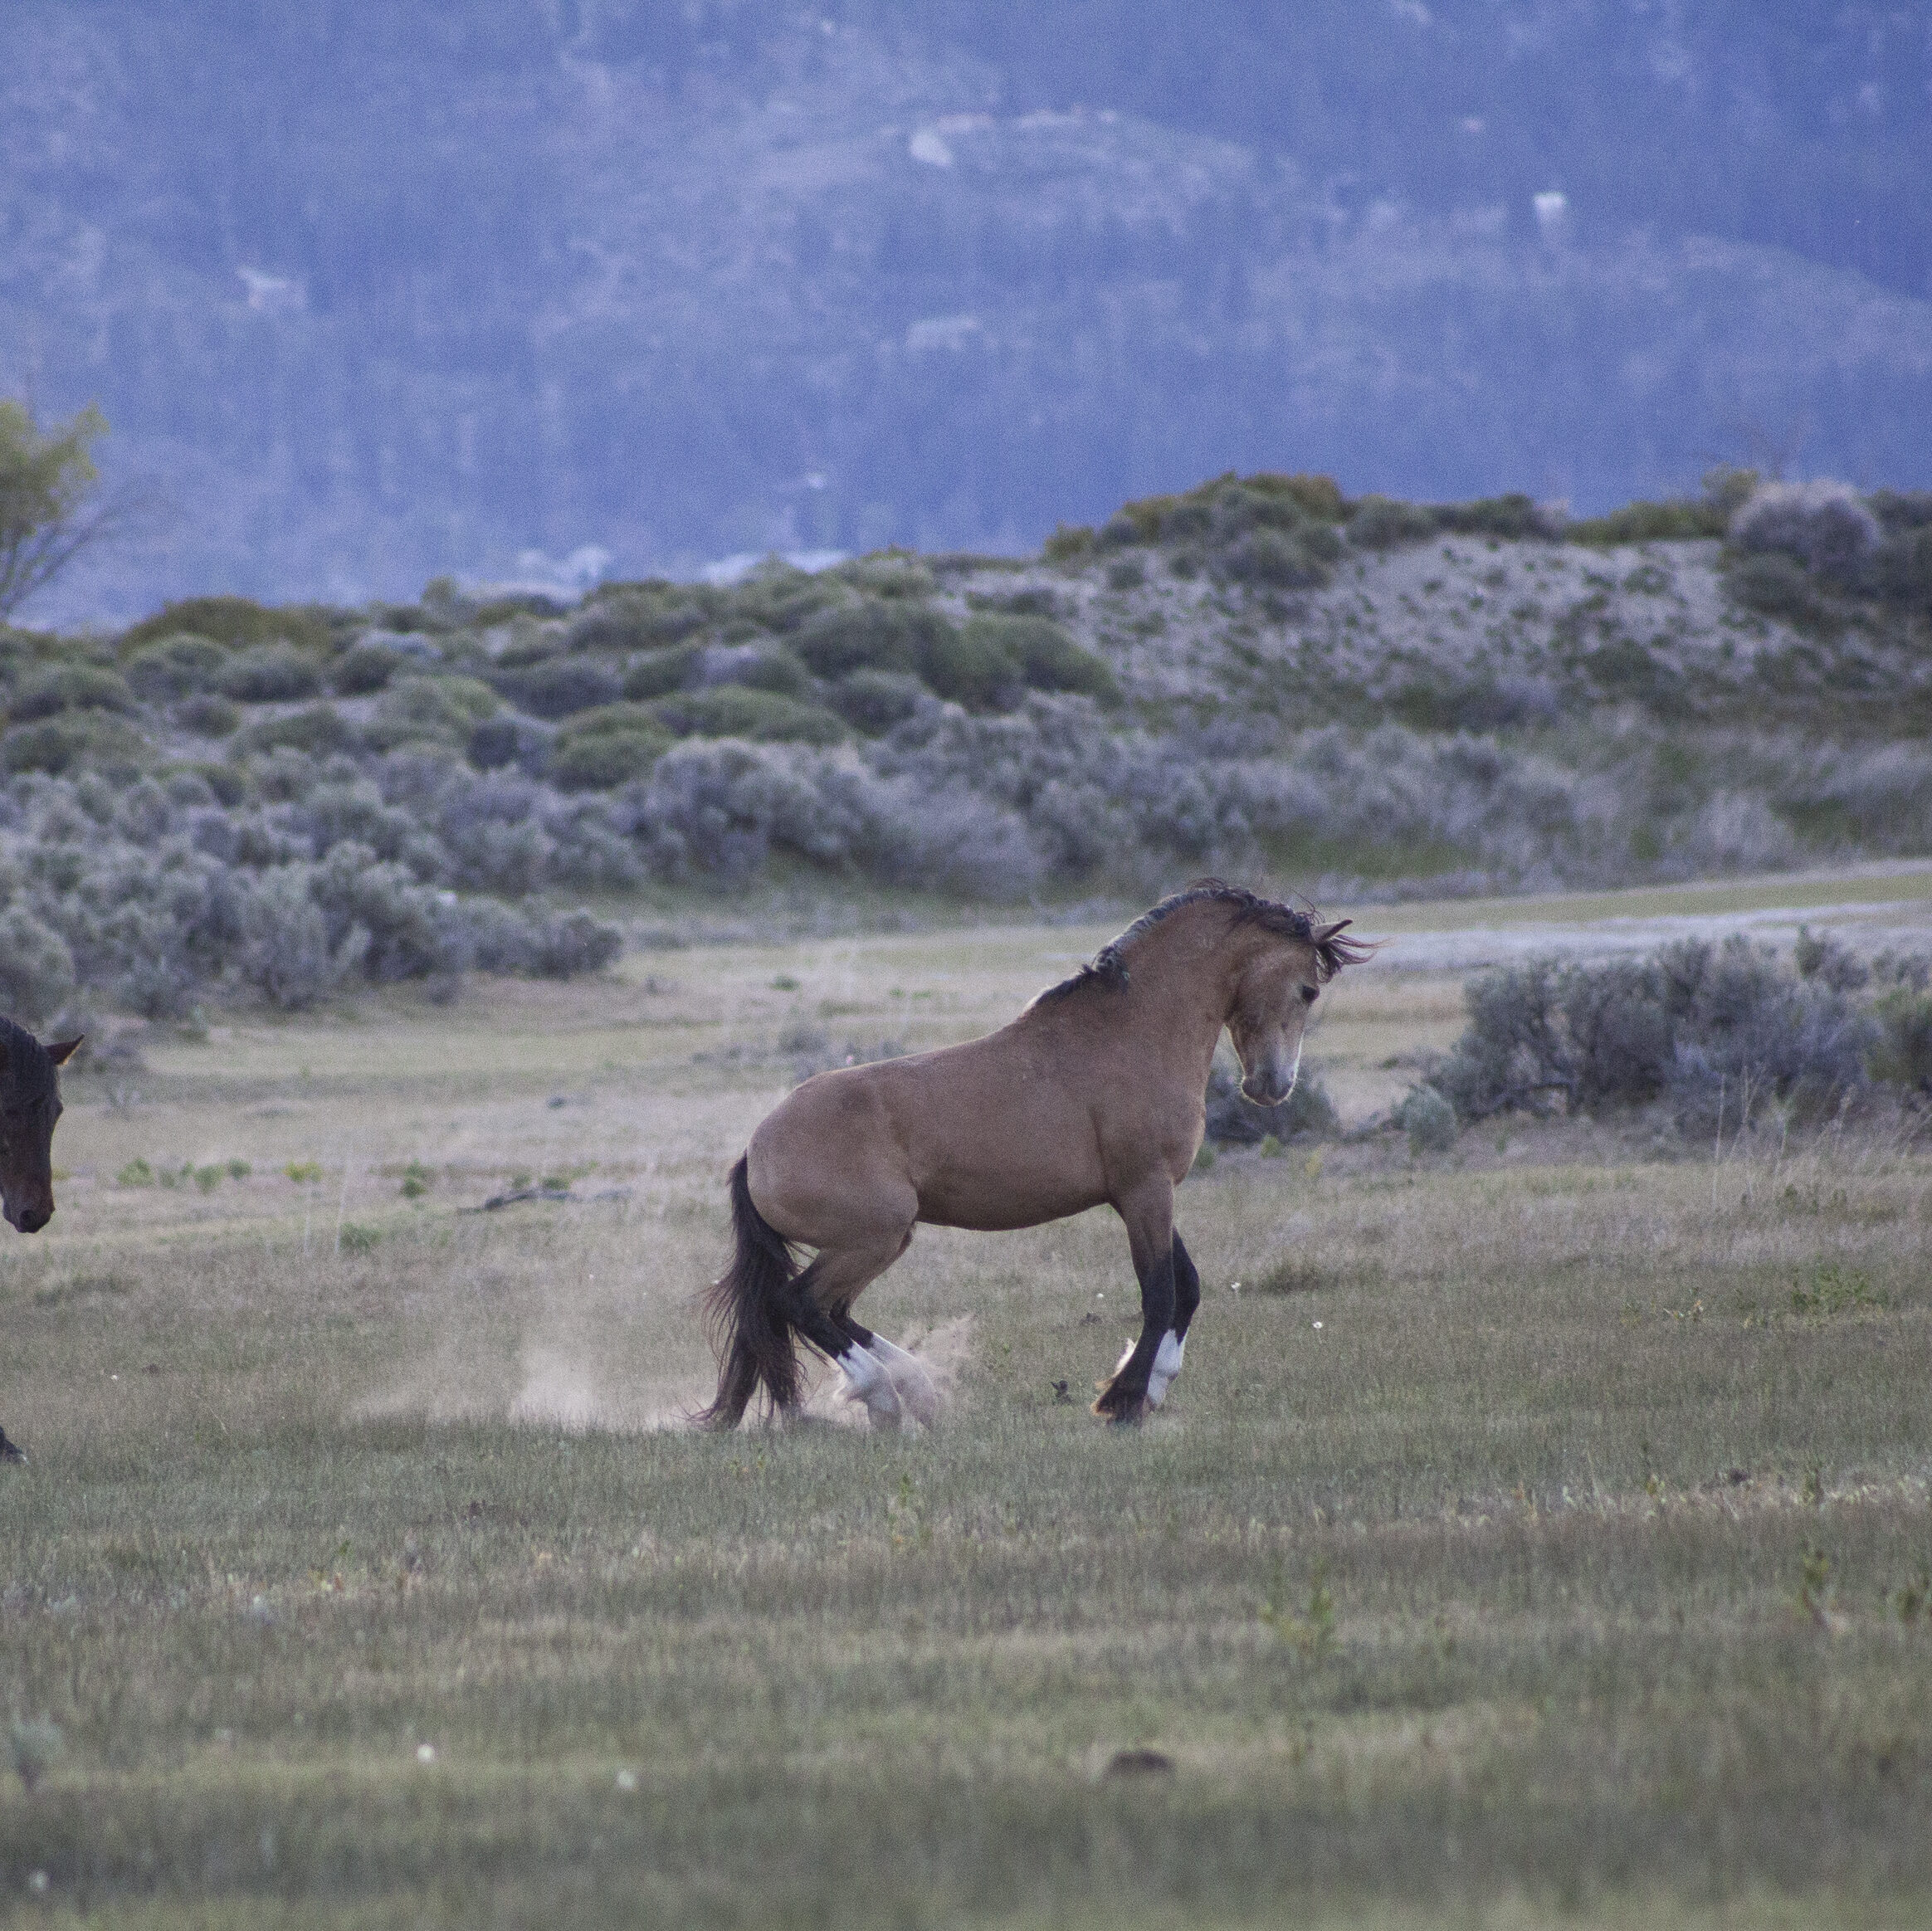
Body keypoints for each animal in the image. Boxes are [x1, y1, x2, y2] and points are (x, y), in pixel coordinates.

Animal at [699, 881, 1373, 1430]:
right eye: (1308, 989)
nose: (1273, 1086)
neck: (1131, 1033)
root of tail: (756, 1150)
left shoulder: (1144, 1193)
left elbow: (1187, 1287)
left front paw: (1151, 1387)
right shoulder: (1145, 1190)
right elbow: (1159, 1292)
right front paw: (1123, 1402)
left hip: (879, 1241)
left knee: (833, 1311)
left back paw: (916, 1389)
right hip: (874, 1239)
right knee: (803, 1304)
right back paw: (888, 1398)